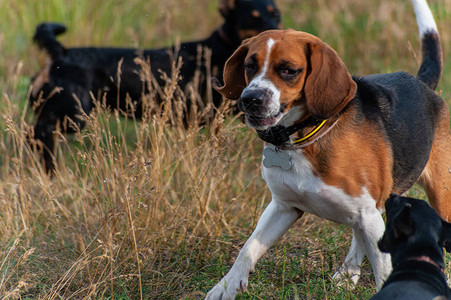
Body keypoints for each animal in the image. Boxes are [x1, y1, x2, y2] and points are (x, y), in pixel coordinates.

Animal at [30, 0, 280, 173]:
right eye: (252, 18)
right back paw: (49, 170)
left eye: (276, 14)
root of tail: (60, 53)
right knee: (38, 132)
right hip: (74, 113)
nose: (277, 32)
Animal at [207, 0, 450, 298]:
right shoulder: (283, 206)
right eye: (250, 66)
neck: (302, 137)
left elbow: (383, 270)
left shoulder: (369, 214)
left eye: (288, 70)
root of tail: (422, 85)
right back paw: (348, 272)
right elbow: (248, 249)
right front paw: (226, 285)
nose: (250, 99)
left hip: (440, 194)